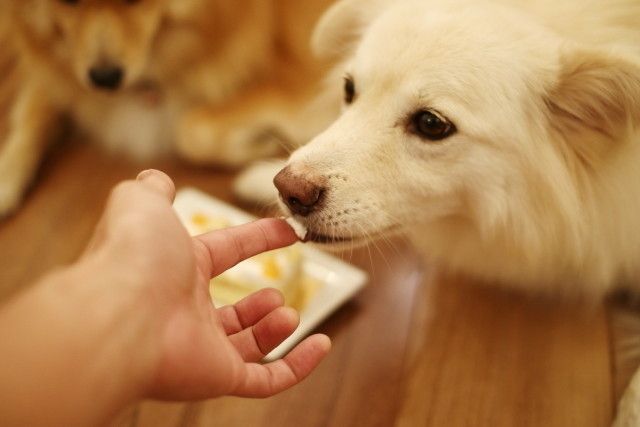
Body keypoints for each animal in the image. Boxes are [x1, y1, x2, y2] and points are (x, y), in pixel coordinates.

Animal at [0, 0, 336, 218]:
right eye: (68, 0)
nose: (105, 79)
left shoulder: (299, 90)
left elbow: (190, 131)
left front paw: (260, 145)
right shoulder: (59, 77)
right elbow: (29, 118)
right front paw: (5, 176)